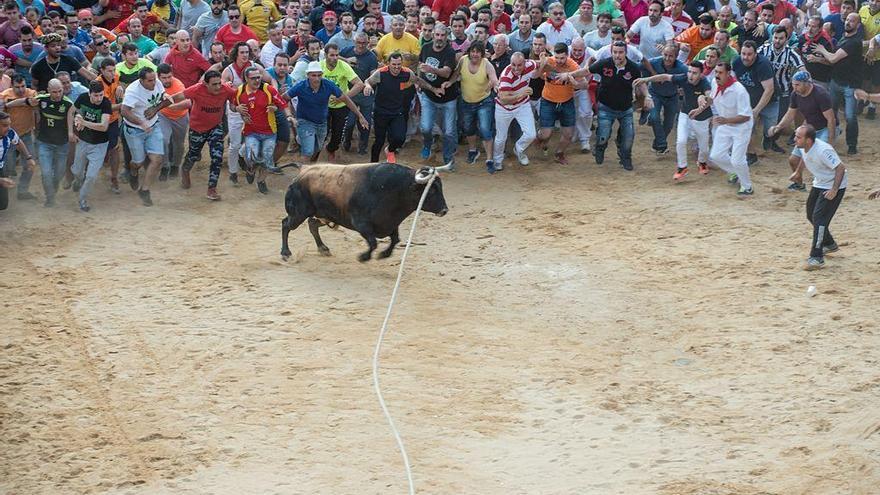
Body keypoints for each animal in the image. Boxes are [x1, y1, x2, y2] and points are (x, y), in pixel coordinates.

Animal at [280, 163, 450, 264]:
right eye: (431, 190)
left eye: (440, 187)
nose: (444, 210)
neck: (395, 189)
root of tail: (303, 169)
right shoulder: (362, 225)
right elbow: (373, 242)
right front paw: (363, 257)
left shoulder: (390, 224)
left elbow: (395, 239)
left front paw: (384, 254)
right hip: (298, 214)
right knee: (286, 225)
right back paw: (286, 253)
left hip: (325, 215)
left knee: (312, 224)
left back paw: (323, 249)